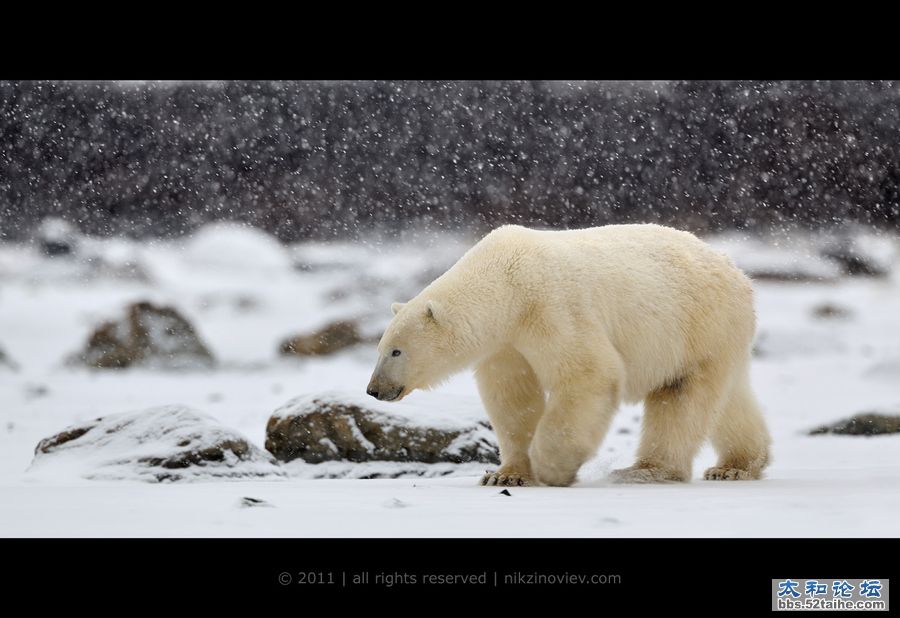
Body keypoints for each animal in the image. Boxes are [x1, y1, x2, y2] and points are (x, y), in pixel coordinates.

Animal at [366, 224, 772, 484]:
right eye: (380, 348)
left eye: (396, 351)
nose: (374, 389)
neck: (506, 281)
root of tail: (738, 274)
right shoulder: (506, 343)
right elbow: (513, 399)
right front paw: (506, 474)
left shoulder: (551, 306)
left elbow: (588, 373)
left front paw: (553, 468)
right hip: (715, 335)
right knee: (726, 398)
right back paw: (736, 466)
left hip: (698, 323)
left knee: (681, 397)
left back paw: (645, 469)